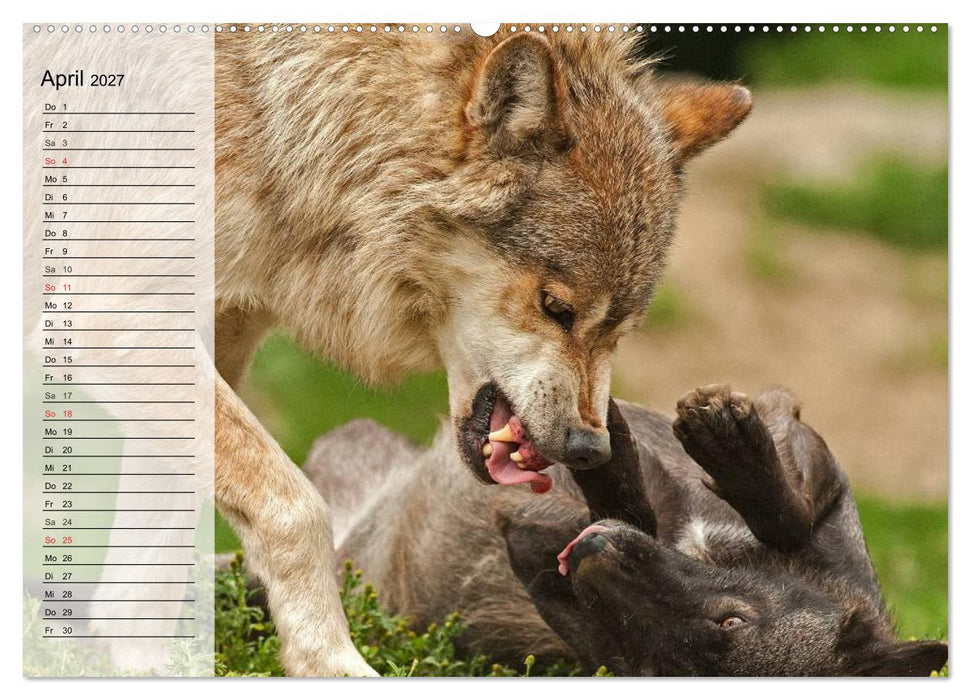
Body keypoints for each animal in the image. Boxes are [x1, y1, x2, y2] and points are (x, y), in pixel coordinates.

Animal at [306, 385, 947, 676]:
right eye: (733, 618)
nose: (589, 549)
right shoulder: (806, 449)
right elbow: (785, 511)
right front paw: (726, 442)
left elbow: (627, 506)